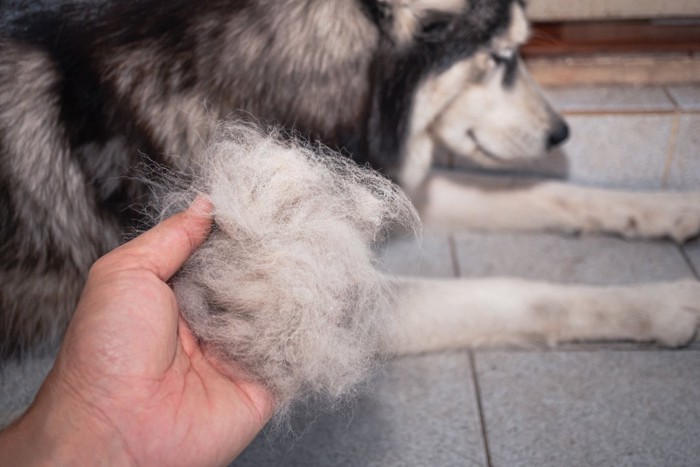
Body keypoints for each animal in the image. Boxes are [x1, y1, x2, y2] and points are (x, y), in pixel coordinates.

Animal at [1, 0, 700, 366]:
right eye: (500, 57)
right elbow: (515, 295)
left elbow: (548, 194)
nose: (561, 133)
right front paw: (663, 305)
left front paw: (669, 210)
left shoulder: (373, 178)